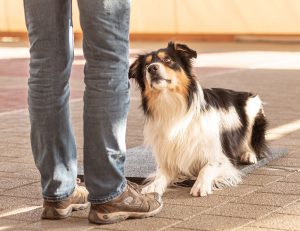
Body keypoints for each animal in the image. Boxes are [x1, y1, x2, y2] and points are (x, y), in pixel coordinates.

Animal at [127, 42, 268, 197]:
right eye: (146, 65)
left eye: (168, 60)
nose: (152, 68)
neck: (171, 104)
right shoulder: (168, 158)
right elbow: (161, 174)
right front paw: (152, 186)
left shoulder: (221, 157)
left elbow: (207, 167)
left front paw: (200, 185)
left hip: (252, 107)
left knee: (253, 144)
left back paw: (248, 155)